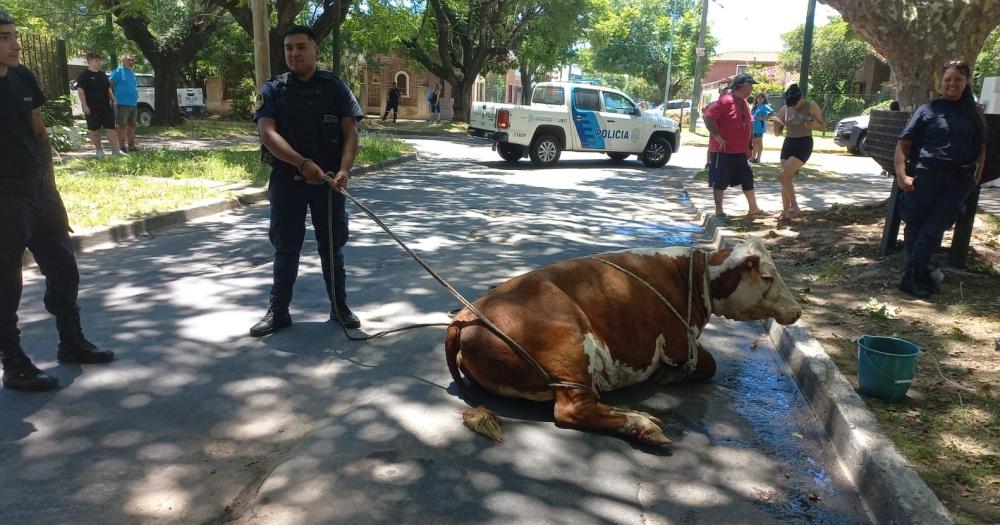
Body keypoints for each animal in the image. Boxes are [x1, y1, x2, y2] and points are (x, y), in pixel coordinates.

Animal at [446, 237, 804, 446]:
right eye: (768, 276)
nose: (798, 310)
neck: (695, 276)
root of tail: (463, 317)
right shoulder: (678, 340)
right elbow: (709, 363)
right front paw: (672, 375)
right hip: (569, 344)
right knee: (571, 410)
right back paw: (642, 425)